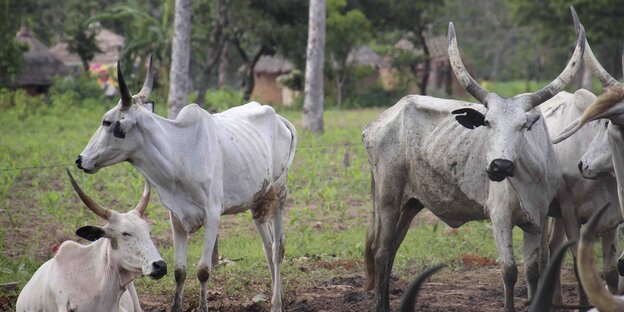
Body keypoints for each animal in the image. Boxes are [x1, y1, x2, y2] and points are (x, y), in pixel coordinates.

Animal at [73, 56, 298, 312]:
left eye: (107, 122)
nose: (81, 159)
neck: (179, 153)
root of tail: (278, 117)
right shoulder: (176, 217)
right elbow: (180, 270)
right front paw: (176, 306)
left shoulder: (213, 215)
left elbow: (203, 270)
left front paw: (203, 306)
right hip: (257, 202)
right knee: (268, 248)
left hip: (279, 196)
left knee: (278, 249)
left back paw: (277, 303)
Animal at [360, 20, 584, 310]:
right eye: (487, 122)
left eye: (523, 125)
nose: (500, 166)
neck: (528, 178)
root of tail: (378, 122)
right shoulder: (500, 216)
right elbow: (509, 270)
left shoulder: (537, 218)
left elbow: (534, 269)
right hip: (387, 197)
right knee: (382, 251)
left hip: (410, 203)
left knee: (393, 248)